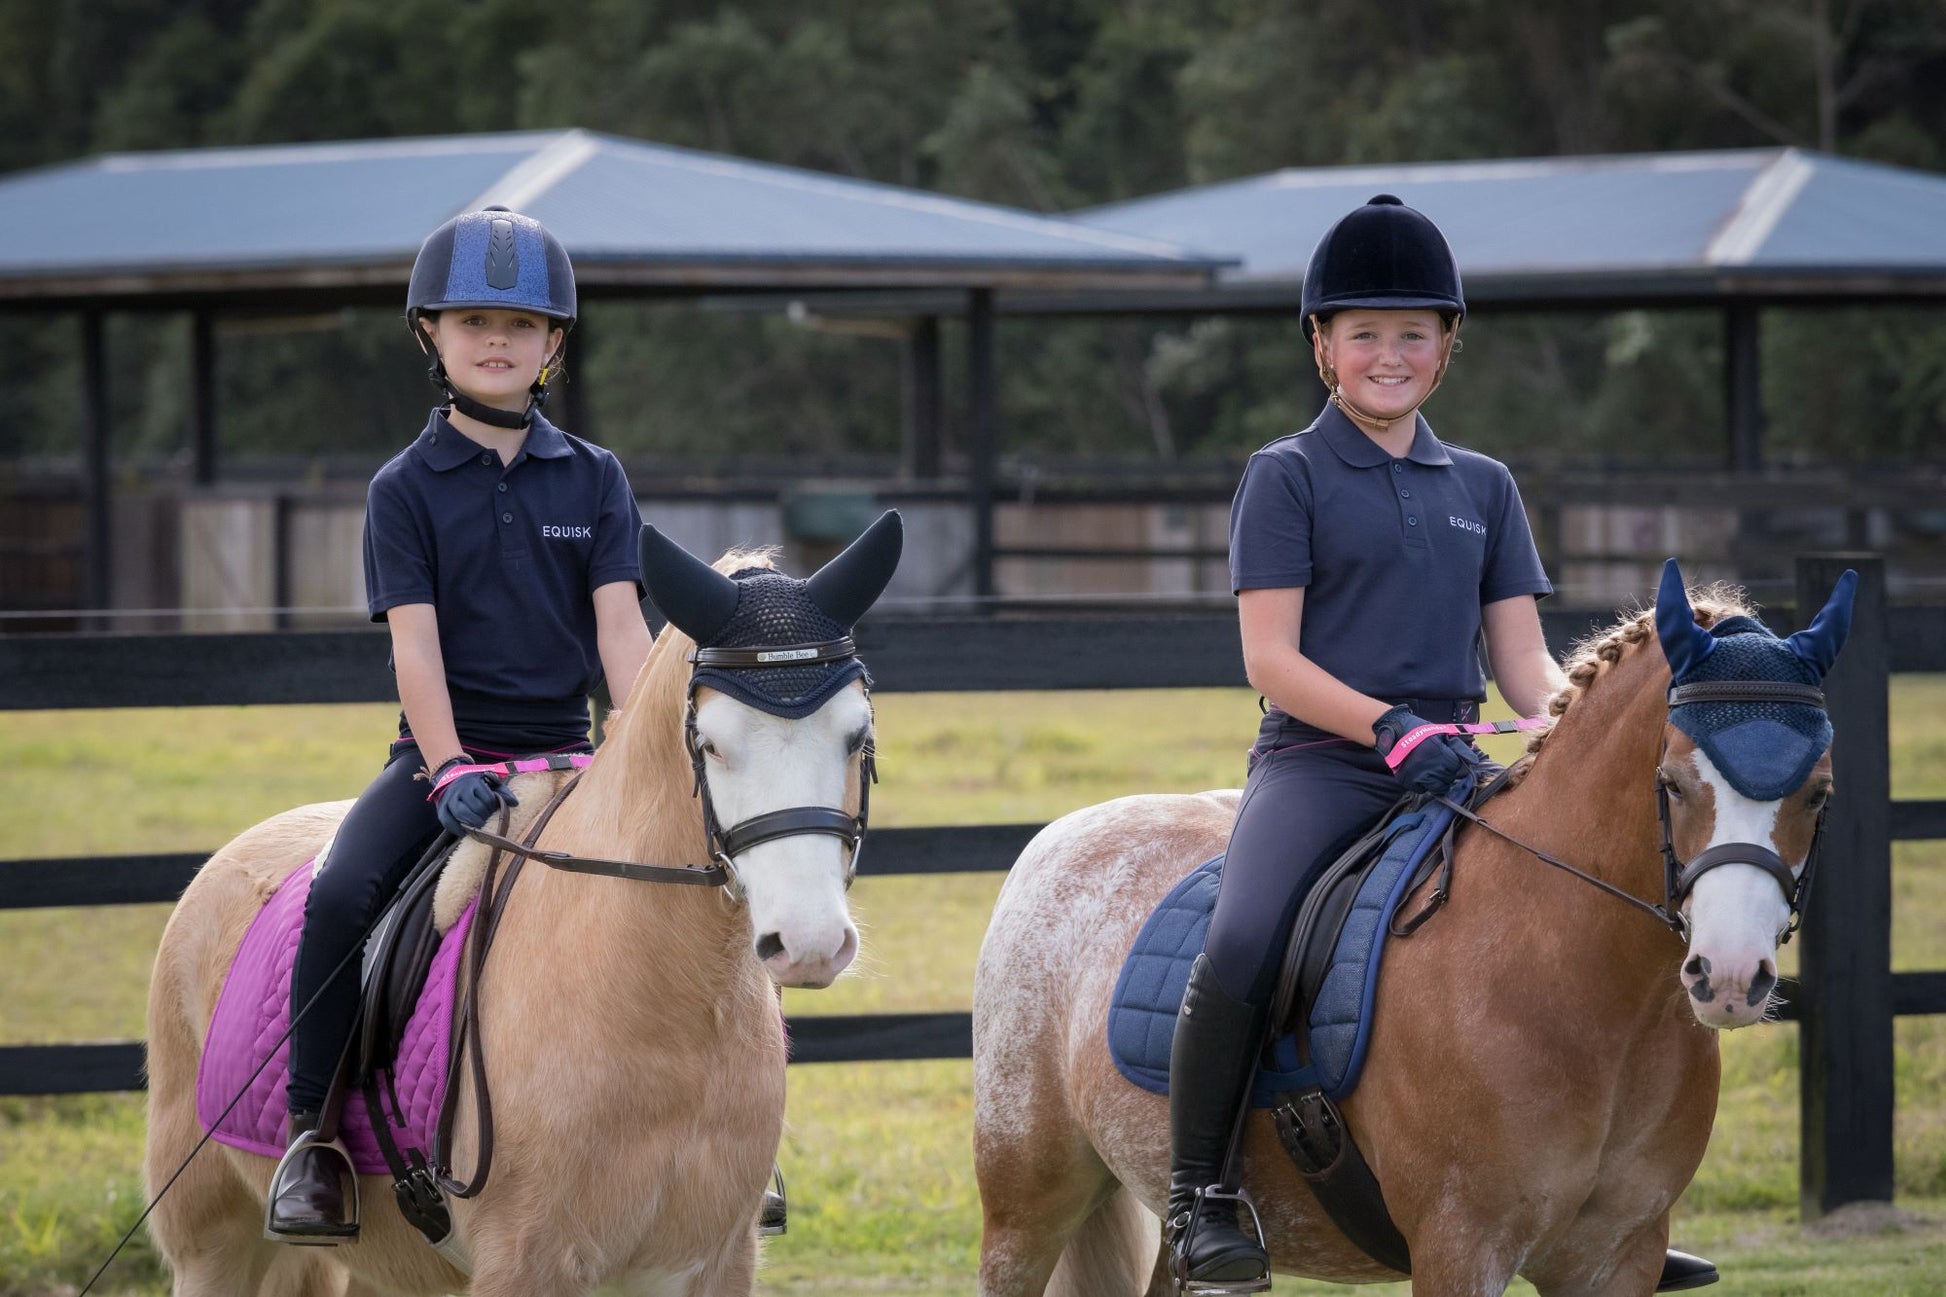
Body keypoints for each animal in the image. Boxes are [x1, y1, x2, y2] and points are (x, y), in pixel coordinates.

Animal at [145, 514, 902, 1293]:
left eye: (859, 735)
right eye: (712, 744)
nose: (809, 942)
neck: (664, 1007)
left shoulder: (713, 1261)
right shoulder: (524, 1259)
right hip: (214, 1242)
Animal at [973, 564, 1852, 1293]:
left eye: (1819, 792)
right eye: (1670, 782)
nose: (1730, 978)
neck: (1587, 993)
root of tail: (1063, 833)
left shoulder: (1617, 1257)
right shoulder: (1461, 1248)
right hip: (1024, 1211)